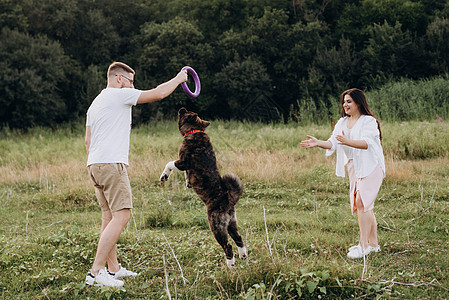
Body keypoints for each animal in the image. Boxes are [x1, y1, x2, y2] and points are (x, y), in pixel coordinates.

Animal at [159, 107, 247, 268]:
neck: (195, 131)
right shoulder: (185, 167)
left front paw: (165, 176)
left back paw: (230, 264)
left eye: (186, 113)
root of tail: (228, 200)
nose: (182, 108)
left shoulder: (182, 162)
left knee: (227, 245)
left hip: (216, 227)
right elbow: (186, 175)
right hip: (231, 224)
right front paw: (187, 182)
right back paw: (243, 255)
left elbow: (169, 164)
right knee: (238, 238)